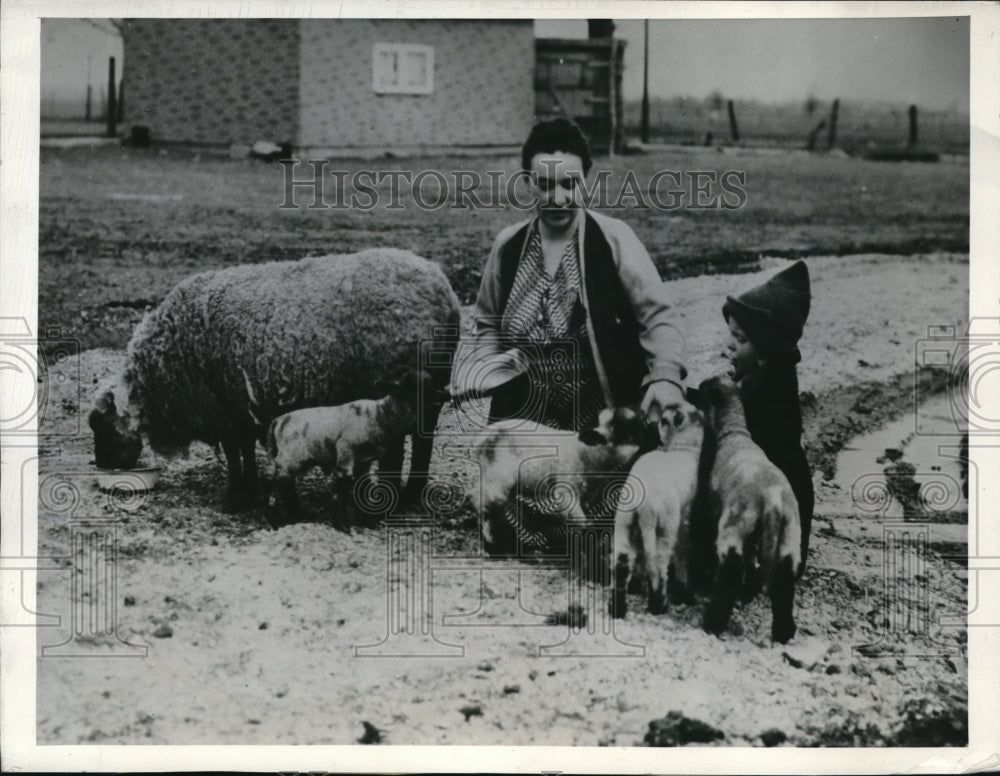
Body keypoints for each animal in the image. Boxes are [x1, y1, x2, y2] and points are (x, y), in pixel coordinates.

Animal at [87, 249, 460, 512]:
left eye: (101, 428)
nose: (102, 468)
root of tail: (445, 291)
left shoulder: (225, 408)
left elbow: (234, 453)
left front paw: (236, 495)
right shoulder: (239, 407)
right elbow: (244, 451)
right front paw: (250, 487)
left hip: (402, 388)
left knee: (405, 446)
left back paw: (394, 496)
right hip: (430, 389)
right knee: (423, 440)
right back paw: (410, 492)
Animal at [264, 370, 444, 528]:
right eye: (416, 387)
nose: (444, 395)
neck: (379, 416)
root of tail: (277, 421)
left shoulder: (364, 461)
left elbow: (363, 487)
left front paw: (365, 521)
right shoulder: (346, 449)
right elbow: (342, 484)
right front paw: (341, 526)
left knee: (283, 485)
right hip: (289, 459)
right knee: (277, 487)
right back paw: (279, 520)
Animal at [608, 406, 704, 620]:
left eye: (661, 421)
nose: (649, 424)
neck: (683, 449)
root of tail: (644, 504)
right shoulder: (686, 516)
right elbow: (683, 551)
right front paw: (684, 592)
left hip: (625, 522)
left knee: (622, 563)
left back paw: (617, 609)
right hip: (665, 526)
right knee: (659, 566)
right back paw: (658, 605)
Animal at [700, 376, 800, 644]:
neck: (734, 433)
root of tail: (773, 502)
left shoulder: (715, 511)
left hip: (734, 526)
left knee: (731, 571)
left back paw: (711, 624)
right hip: (789, 535)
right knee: (784, 583)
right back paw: (783, 633)